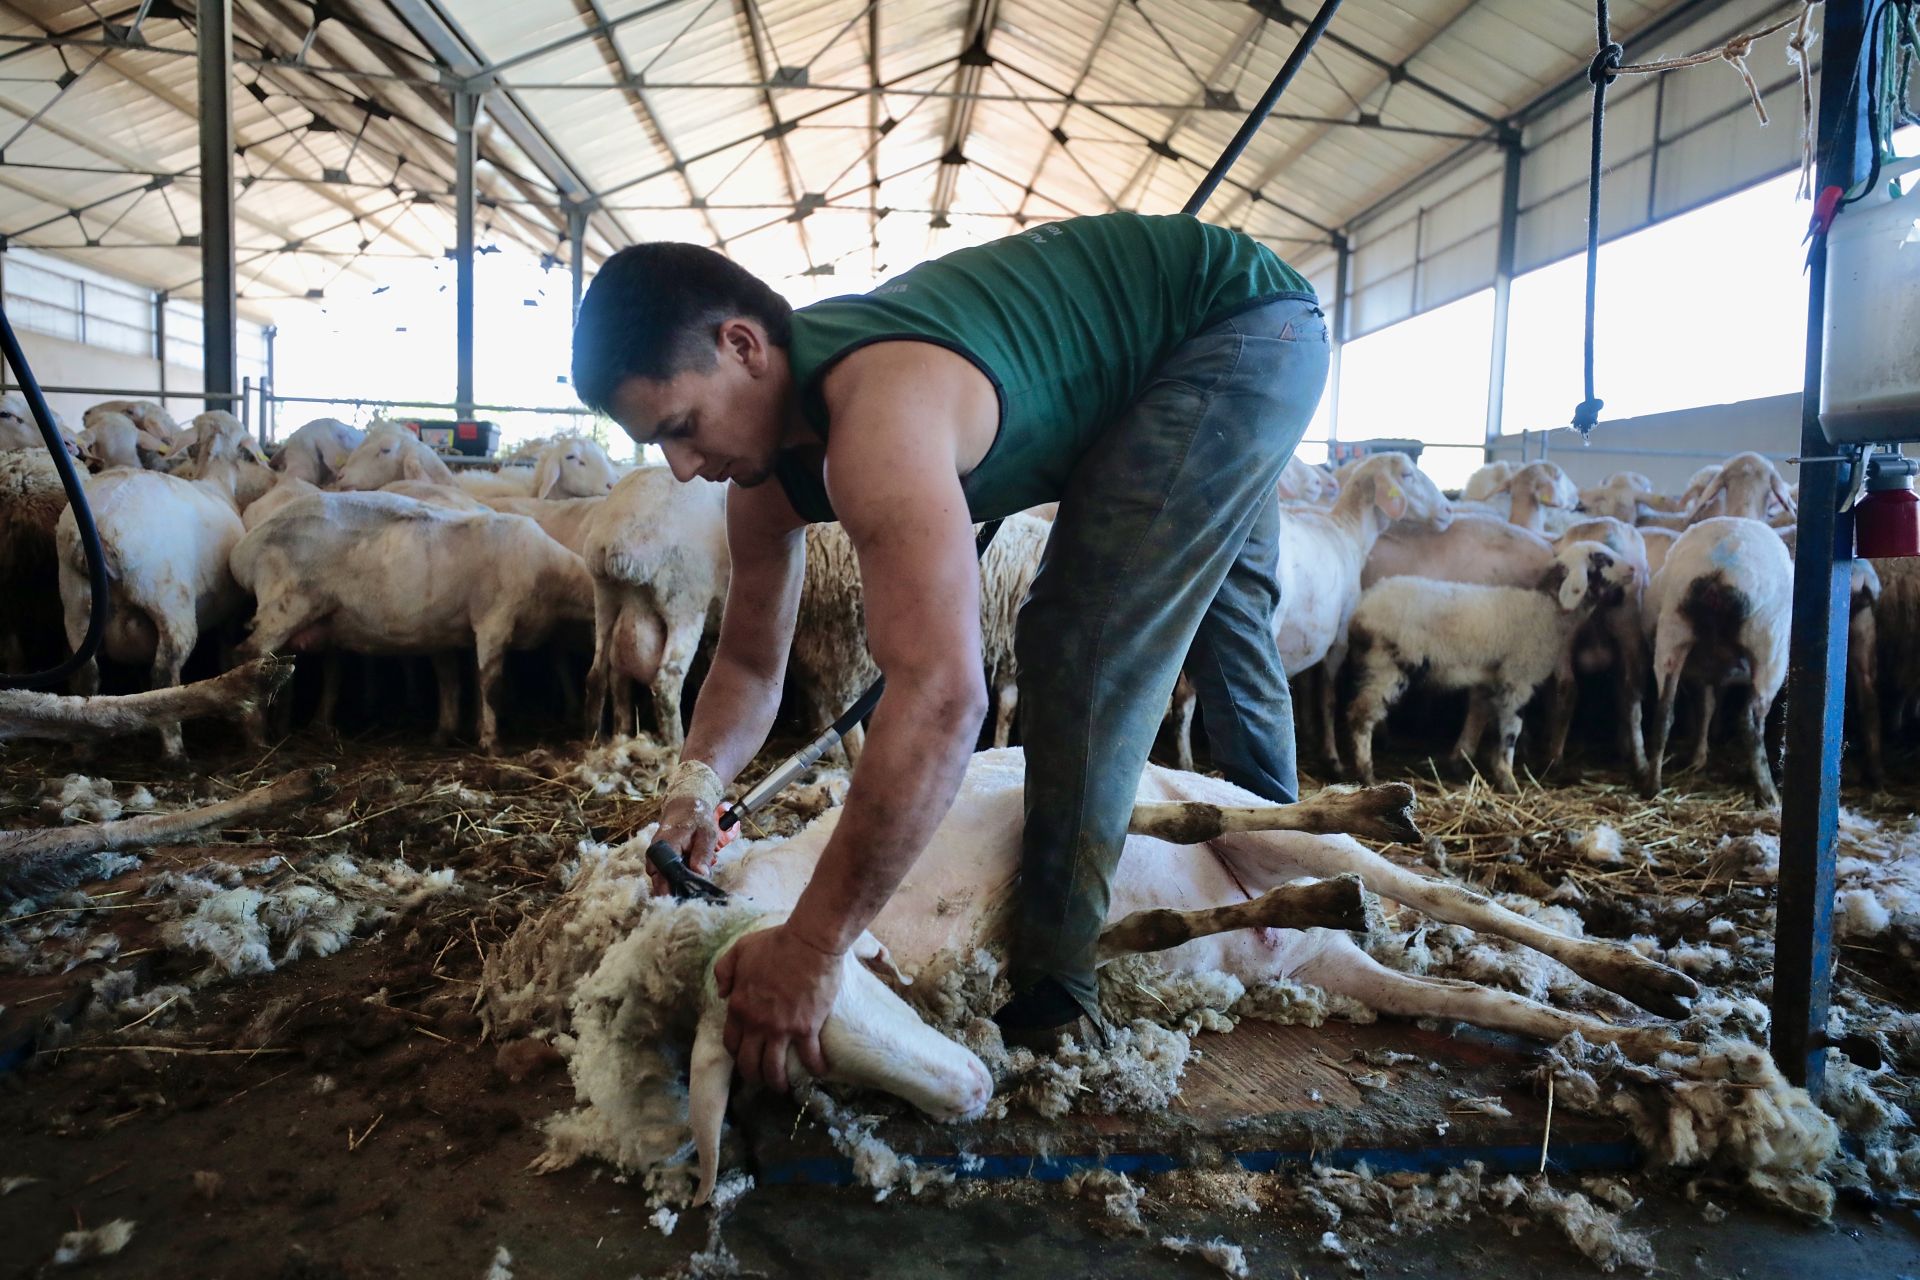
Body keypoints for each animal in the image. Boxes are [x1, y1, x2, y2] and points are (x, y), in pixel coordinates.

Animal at [491, 744, 1697, 1205]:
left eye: (828, 1005)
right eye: (793, 1068)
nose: (970, 1093)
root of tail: (1320, 965)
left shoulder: (1020, 819)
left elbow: (1150, 846)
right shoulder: (1023, 950)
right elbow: (1139, 925)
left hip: (1288, 830)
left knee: (1419, 885)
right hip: (1352, 971)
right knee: (1471, 993)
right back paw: (1656, 1039)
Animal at [576, 466, 725, 744]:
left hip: (605, 599)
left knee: (598, 674)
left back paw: (597, 740)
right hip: (683, 600)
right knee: (666, 681)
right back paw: (676, 744)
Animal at [1336, 537, 1635, 790]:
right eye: (1604, 559)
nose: (1633, 569)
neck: (1546, 612)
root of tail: (1362, 611)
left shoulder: (1490, 678)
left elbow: (1479, 716)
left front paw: (1463, 762)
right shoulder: (1517, 679)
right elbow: (1511, 730)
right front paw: (1507, 780)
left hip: (1371, 666)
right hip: (1388, 666)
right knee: (1360, 715)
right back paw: (1367, 774)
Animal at [1643, 518, 1789, 802]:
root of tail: (1719, 568)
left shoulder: (1705, 673)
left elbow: (1706, 708)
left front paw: (1698, 757)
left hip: (1673, 634)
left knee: (1664, 711)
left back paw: (1653, 784)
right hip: (1769, 648)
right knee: (1750, 721)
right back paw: (1768, 793)